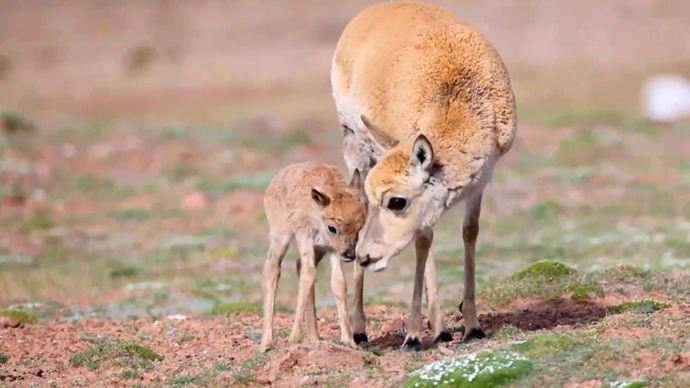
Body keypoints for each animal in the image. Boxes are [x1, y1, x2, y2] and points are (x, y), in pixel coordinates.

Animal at [260, 161, 366, 352]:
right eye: (332, 227)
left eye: (360, 226)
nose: (349, 253)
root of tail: (275, 181)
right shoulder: (305, 240)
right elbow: (308, 275)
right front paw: (294, 337)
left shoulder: (332, 251)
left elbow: (339, 284)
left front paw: (348, 340)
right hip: (281, 236)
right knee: (272, 270)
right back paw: (267, 343)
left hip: (318, 250)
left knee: (298, 266)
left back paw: (315, 338)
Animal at [330, 0, 516, 352]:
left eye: (396, 201)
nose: (364, 256)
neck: (456, 96)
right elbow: (423, 240)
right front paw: (414, 335)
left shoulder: (481, 181)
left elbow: (469, 232)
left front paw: (472, 325)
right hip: (354, 147)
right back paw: (361, 330)